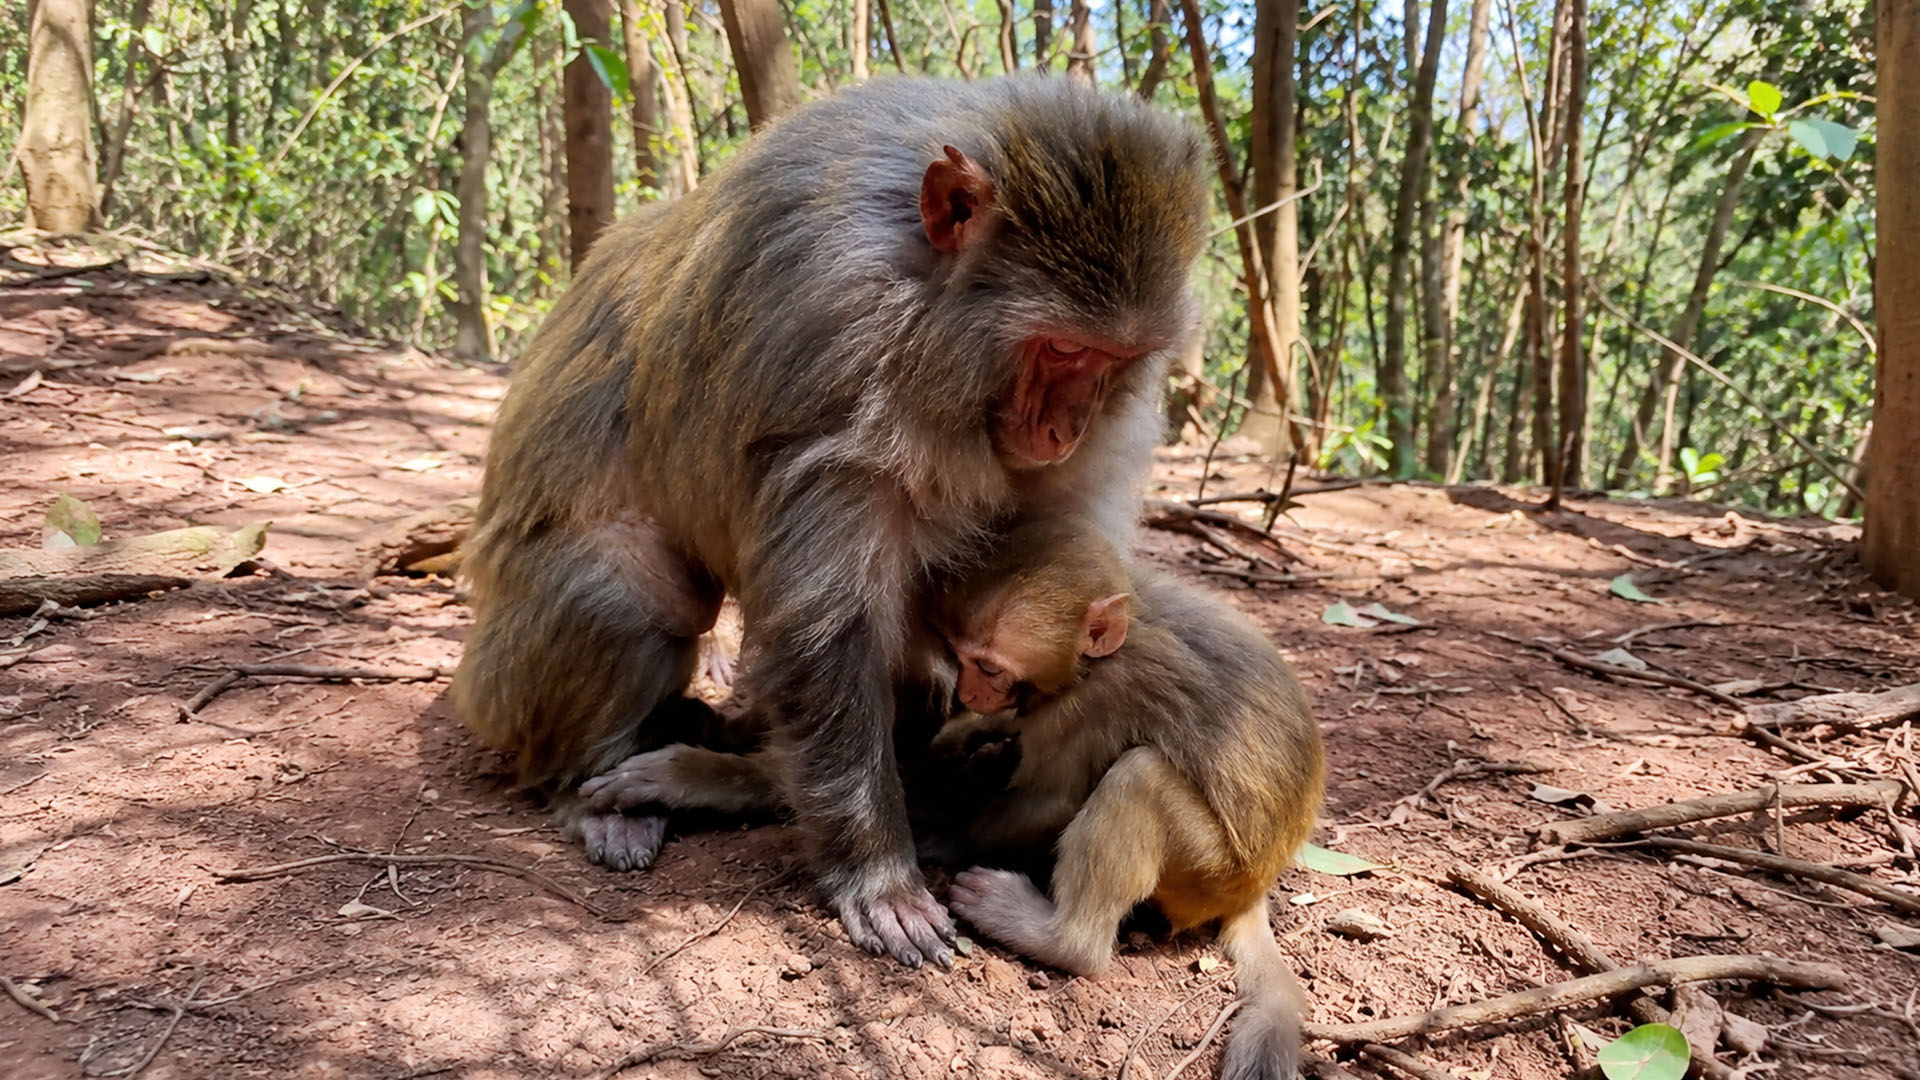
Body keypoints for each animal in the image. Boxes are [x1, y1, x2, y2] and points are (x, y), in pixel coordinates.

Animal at [449, 74, 1211, 969]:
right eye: (1061, 349)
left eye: (1116, 360)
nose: (1066, 429)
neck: (931, 316)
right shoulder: (834, 340)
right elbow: (829, 629)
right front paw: (876, 869)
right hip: (501, 680)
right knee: (637, 593)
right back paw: (591, 795)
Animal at [579, 514, 1324, 1079]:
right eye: (960, 657)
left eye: (989, 667)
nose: (968, 691)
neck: (1107, 648)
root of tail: (1257, 882)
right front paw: (963, 734)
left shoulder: (1089, 704)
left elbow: (1047, 802)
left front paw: (933, 827)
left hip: (1205, 869)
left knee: (1137, 777)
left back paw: (1058, 937)